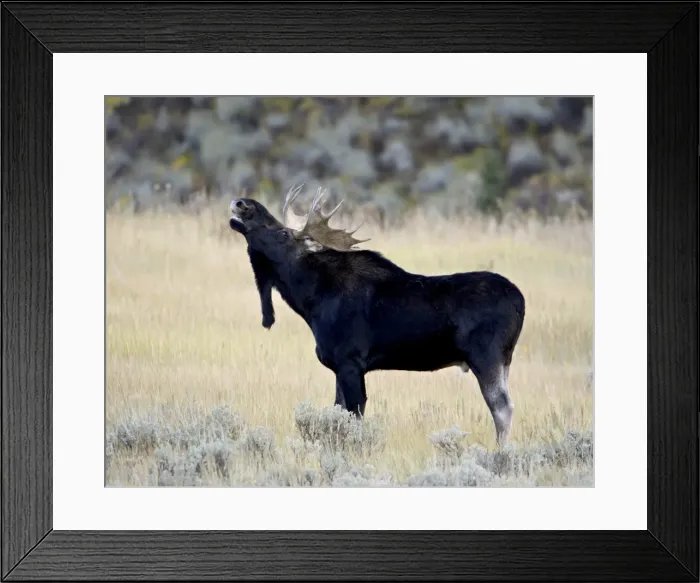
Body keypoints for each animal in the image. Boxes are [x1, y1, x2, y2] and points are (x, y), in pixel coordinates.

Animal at [228, 185, 526, 447]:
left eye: (283, 233)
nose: (243, 203)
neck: (311, 300)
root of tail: (520, 300)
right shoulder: (340, 366)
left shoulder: (350, 362)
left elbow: (354, 414)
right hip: (504, 360)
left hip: (486, 356)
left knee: (503, 407)